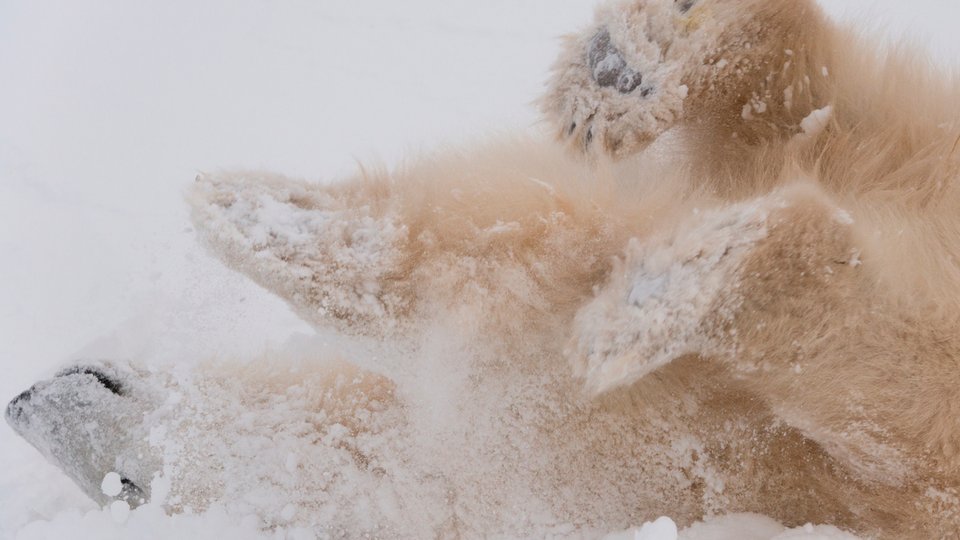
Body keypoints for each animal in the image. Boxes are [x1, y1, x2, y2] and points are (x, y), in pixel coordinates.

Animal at [7, 0, 960, 537]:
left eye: (127, 485)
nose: (28, 403)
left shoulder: (547, 453)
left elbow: (471, 271)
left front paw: (260, 212)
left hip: (913, 460)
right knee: (814, 110)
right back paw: (640, 75)